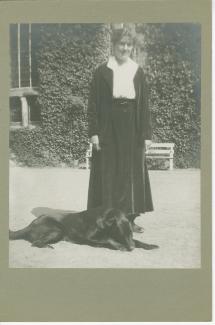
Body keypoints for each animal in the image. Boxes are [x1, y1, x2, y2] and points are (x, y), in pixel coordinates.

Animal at [9, 208, 159, 251]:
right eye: (122, 234)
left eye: (130, 233)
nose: (132, 249)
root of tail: (29, 225)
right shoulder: (88, 237)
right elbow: (108, 239)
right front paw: (119, 246)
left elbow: (138, 241)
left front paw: (149, 245)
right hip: (57, 230)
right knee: (35, 243)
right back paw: (47, 246)